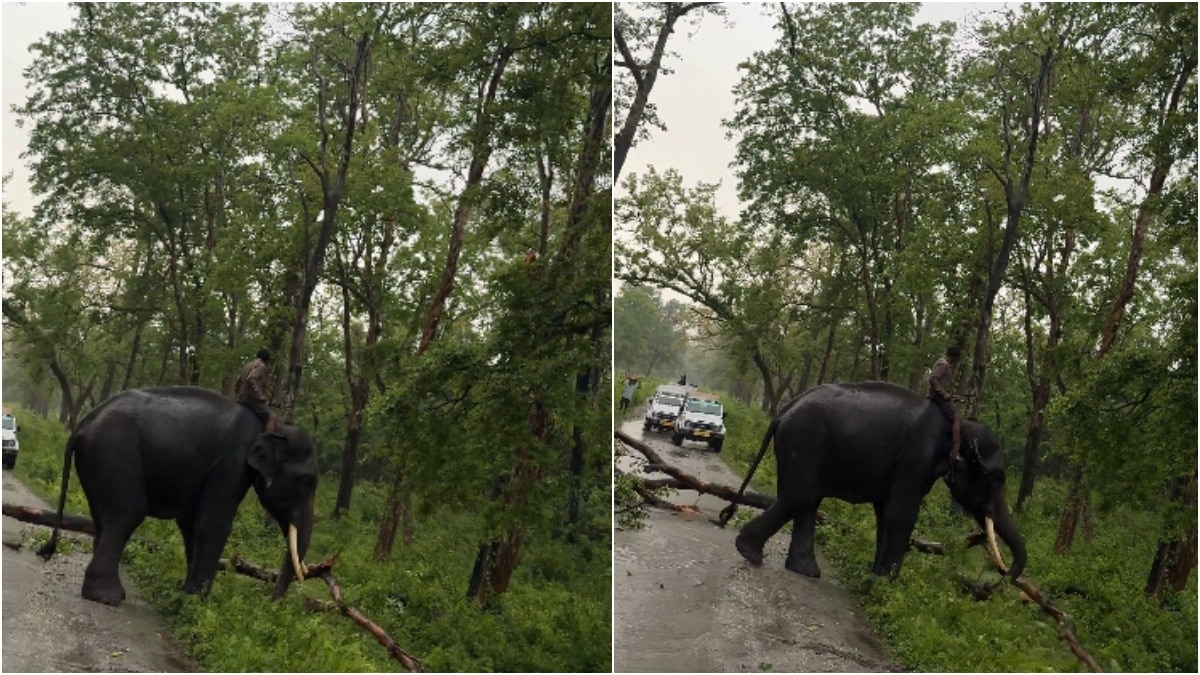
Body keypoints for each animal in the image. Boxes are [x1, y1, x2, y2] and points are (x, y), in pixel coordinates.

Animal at [38, 386, 319, 605]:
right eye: (307, 481)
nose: (270, 602)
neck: (274, 426)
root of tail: (82, 424)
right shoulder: (232, 466)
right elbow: (213, 523)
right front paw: (200, 604)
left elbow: (191, 524)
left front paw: (187, 596)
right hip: (114, 454)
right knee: (126, 515)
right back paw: (107, 597)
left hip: (97, 463)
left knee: (103, 520)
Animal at [721, 381, 1026, 581]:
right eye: (995, 481)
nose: (996, 584)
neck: (960, 427)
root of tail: (784, 410)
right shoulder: (917, 458)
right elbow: (901, 513)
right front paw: (885, 585)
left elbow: (885, 513)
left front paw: (876, 579)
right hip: (803, 442)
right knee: (801, 497)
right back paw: (750, 553)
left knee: (807, 500)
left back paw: (804, 571)